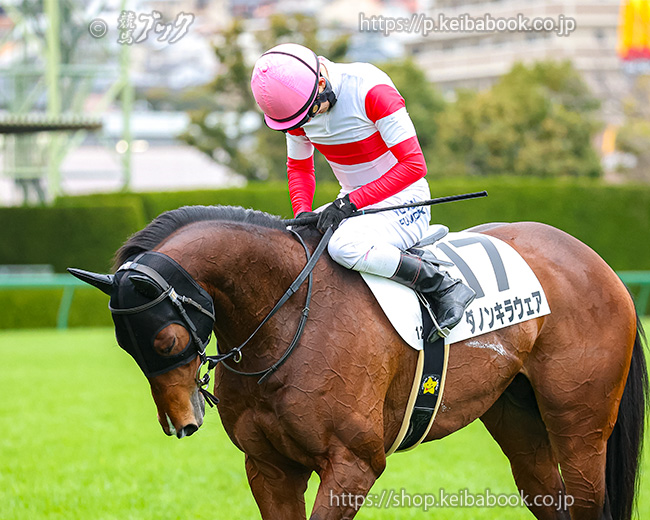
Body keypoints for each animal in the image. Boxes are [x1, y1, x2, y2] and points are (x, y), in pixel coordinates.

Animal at [69, 205, 648, 520]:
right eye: (126, 348)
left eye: (166, 341)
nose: (181, 423)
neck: (287, 321)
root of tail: (594, 260)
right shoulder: (269, 466)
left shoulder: (352, 463)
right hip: (517, 416)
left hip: (580, 423)